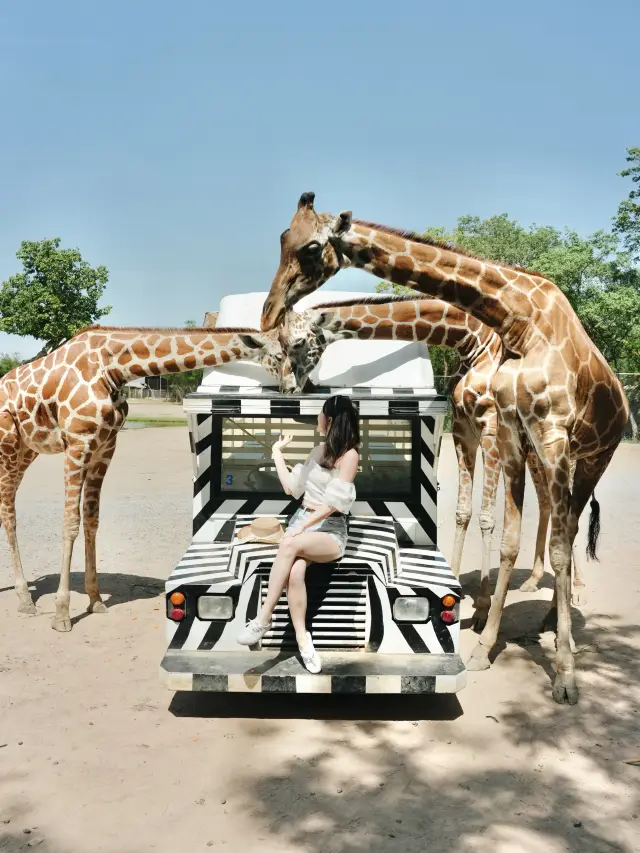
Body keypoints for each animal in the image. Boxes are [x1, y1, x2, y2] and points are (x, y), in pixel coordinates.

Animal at [0, 326, 284, 632]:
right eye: (282, 355)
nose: (291, 389)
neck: (113, 366)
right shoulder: (77, 443)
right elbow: (70, 523)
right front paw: (62, 614)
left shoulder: (105, 447)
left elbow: (91, 521)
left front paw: (95, 600)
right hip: (9, 446)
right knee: (9, 514)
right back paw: (25, 600)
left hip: (27, 450)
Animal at [278, 296, 588, 628]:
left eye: (297, 342)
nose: (287, 389)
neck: (474, 341)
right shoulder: (465, 429)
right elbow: (463, 512)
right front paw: (456, 577)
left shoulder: (490, 428)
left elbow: (486, 517)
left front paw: (482, 607)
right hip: (534, 455)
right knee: (548, 505)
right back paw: (536, 583)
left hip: (563, 451)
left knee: (571, 518)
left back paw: (573, 595)